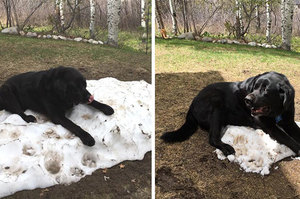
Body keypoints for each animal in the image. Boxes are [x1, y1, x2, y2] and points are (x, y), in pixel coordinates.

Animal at [162, 72, 300, 156]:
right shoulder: (270, 126)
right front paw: (298, 148)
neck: (277, 110)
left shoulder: (289, 122)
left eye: (265, 90)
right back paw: (225, 147)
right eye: (255, 87)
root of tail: (192, 104)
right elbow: (286, 137)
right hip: (216, 102)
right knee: (212, 138)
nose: (247, 100)